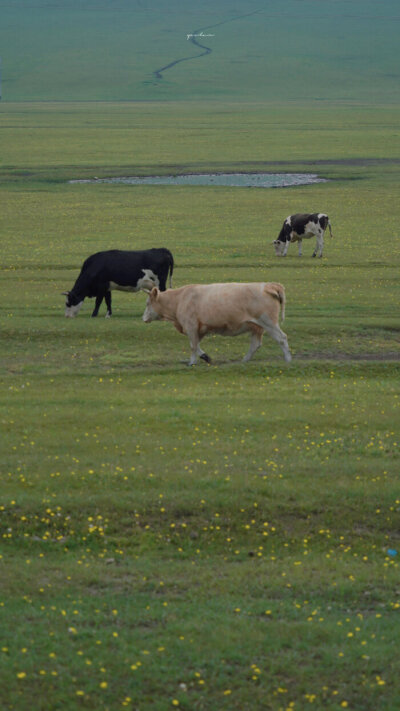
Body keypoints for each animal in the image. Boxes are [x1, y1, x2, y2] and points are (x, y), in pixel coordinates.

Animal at [142, 280, 292, 364]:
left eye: (148, 303)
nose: (143, 318)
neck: (180, 299)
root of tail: (268, 285)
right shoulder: (199, 328)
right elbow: (196, 345)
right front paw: (205, 357)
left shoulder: (191, 326)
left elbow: (193, 346)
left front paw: (192, 362)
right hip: (256, 327)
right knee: (255, 344)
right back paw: (244, 360)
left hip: (268, 322)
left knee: (282, 338)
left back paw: (288, 359)